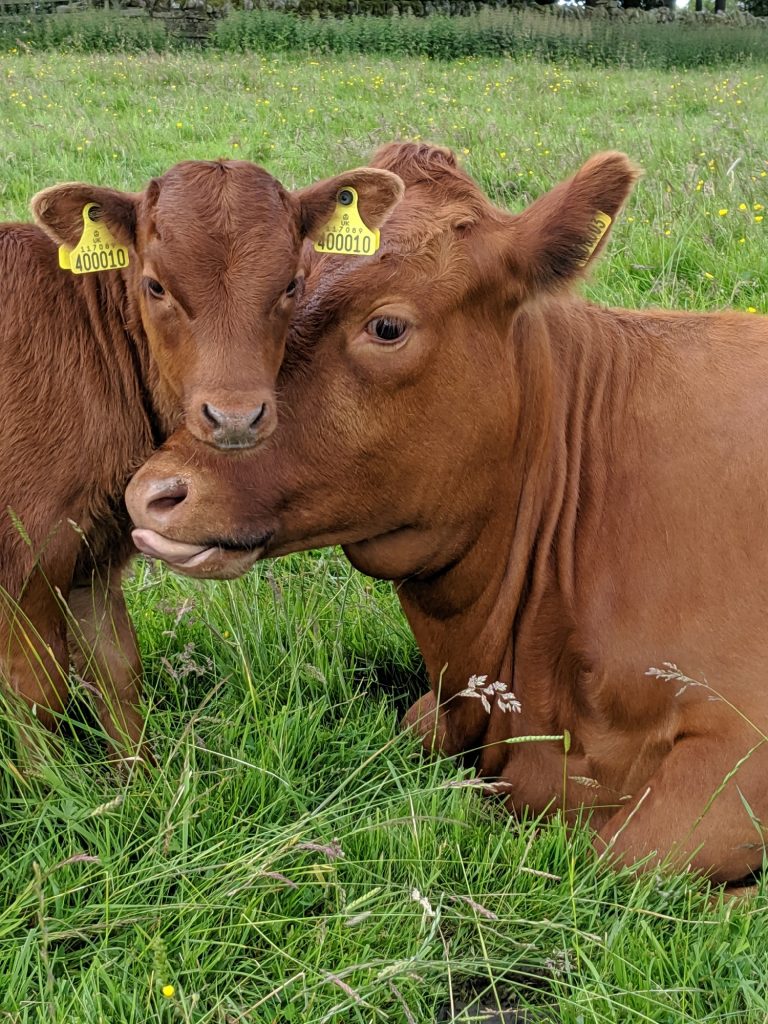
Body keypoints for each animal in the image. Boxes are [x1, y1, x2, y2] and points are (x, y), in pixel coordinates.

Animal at [0, 155, 405, 757]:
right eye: (155, 285)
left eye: (292, 282)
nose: (235, 417)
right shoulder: (26, 552)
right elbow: (36, 693)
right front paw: (45, 784)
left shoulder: (93, 555)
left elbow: (117, 673)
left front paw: (139, 777)